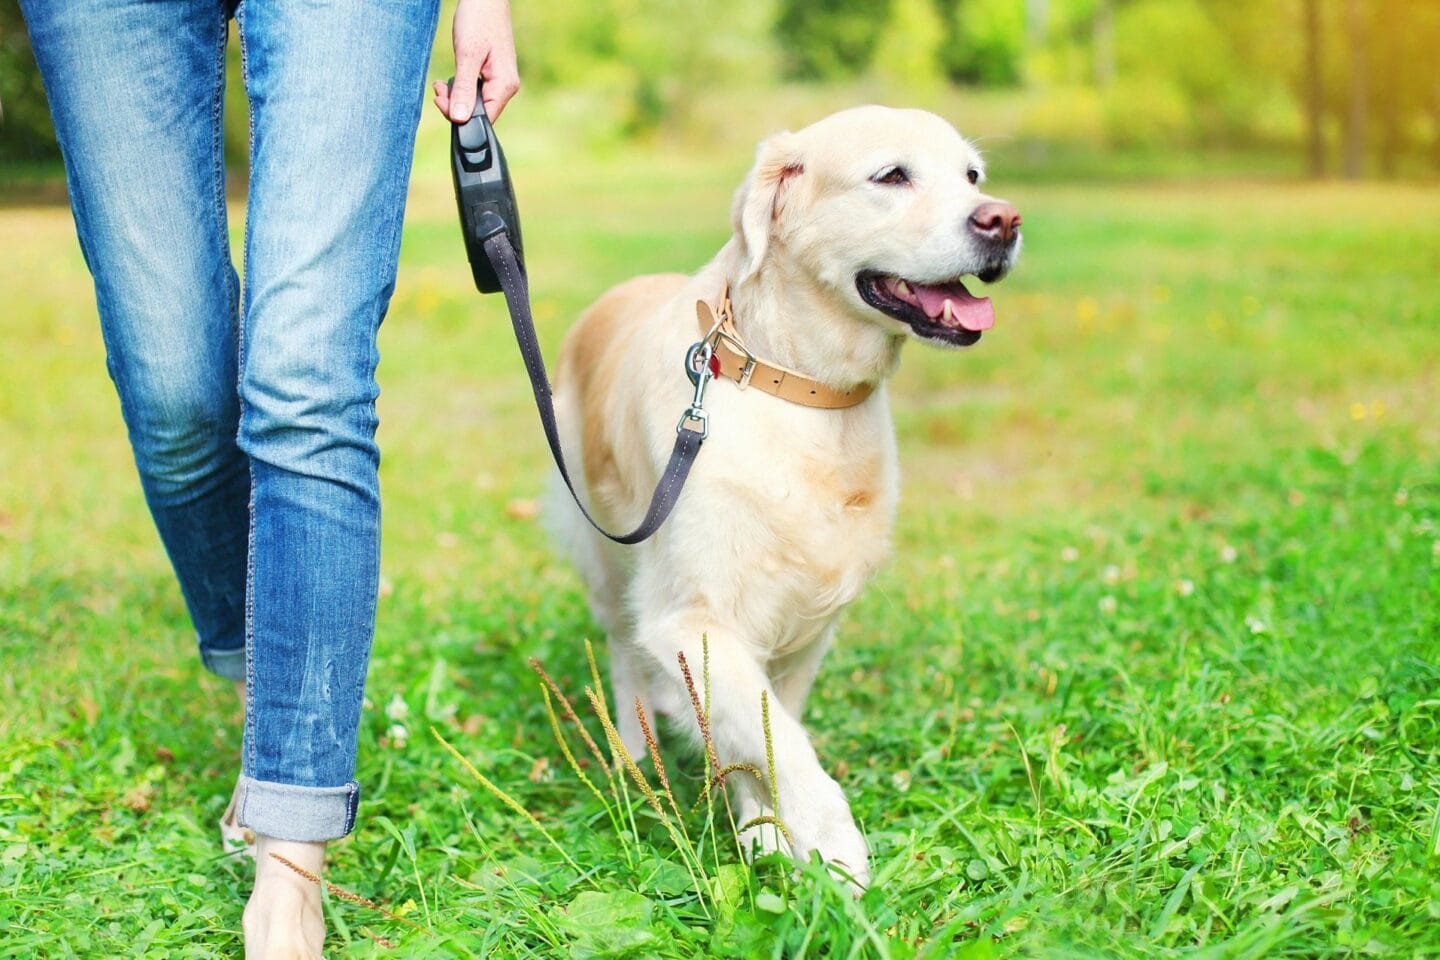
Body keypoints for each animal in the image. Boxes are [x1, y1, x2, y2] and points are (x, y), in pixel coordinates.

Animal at [544, 107, 1019, 886]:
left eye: (973, 176)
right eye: (892, 175)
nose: (1004, 220)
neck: (799, 387)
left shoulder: (807, 622)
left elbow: (767, 729)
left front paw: (765, 827)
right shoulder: (691, 616)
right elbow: (784, 744)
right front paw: (835, 852)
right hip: (606, 556)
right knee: (620, 652)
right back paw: (633, 755)